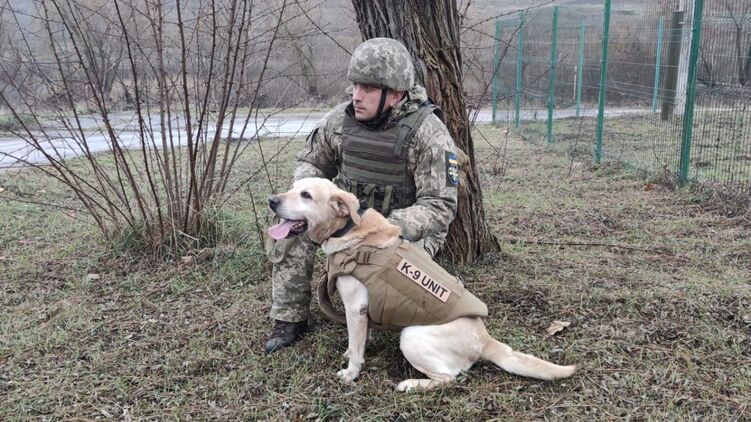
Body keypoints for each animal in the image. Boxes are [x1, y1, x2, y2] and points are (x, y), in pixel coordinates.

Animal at [267, 177, 576, 391]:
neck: (350, 230)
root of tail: (485, 340)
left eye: (306, 195)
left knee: (451, 378)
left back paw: (412, 385)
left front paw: (351, 373)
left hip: (412, 337)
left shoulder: (355, 307)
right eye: (293, 188)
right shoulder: (363, 311)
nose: (271, 200)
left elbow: (356, 347)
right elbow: (360, 339)